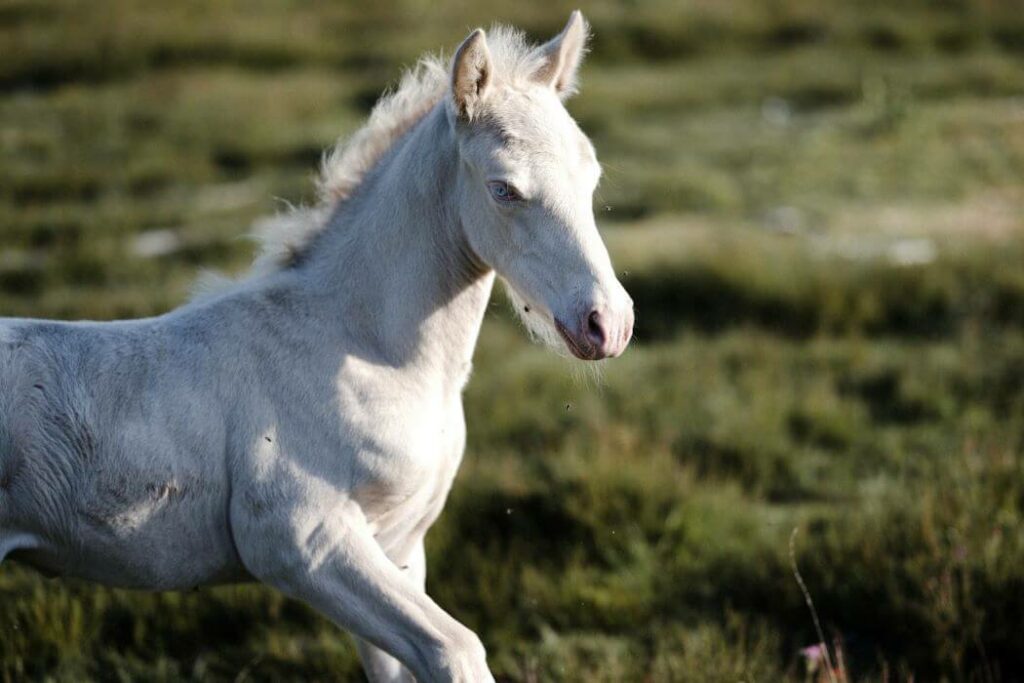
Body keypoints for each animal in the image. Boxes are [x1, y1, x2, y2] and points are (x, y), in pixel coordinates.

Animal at [0, 12, 630, 683]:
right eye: (504, 189)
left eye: (591, 176)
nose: (607, 324)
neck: (362, 351)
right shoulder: (302, 543)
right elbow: (455, 648)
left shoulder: (397, 546)